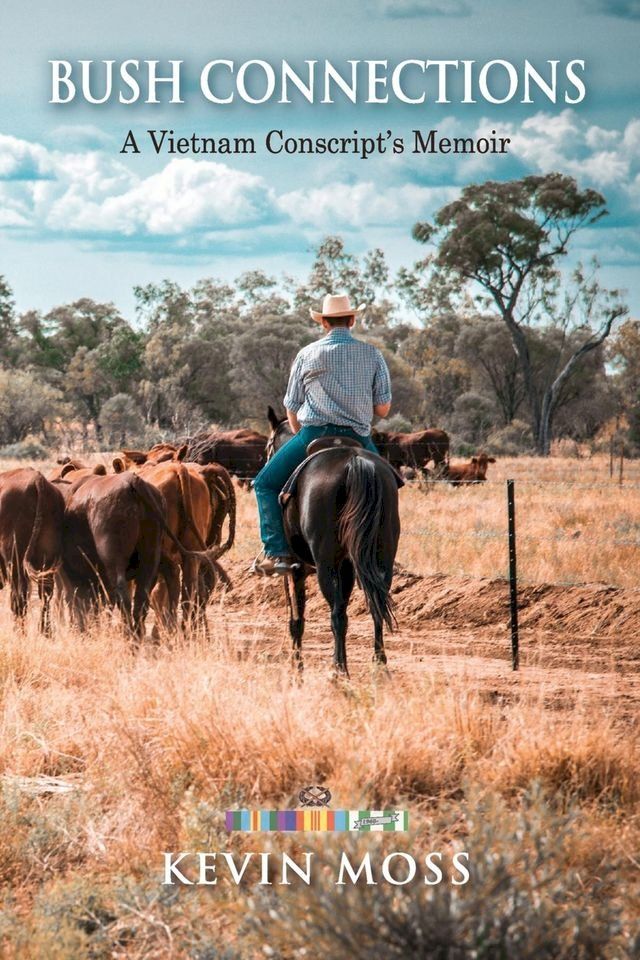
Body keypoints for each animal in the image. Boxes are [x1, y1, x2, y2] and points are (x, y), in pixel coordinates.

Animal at [0, 468, 64, 632]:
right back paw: (46, 632)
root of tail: (37, 479)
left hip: (14, 559)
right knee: (46, 594)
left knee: (19, 596)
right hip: (47, 558)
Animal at [264, 412, 400, 676]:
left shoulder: (294, 569)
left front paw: (297, 669)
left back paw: (339, 671)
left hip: (325, 564)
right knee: (376, 607)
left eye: (268, 446)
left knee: (337, 615)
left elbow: (296, 620)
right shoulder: (346, 566)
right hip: (383, 557)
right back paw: (379, 666)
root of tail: (355, 462)